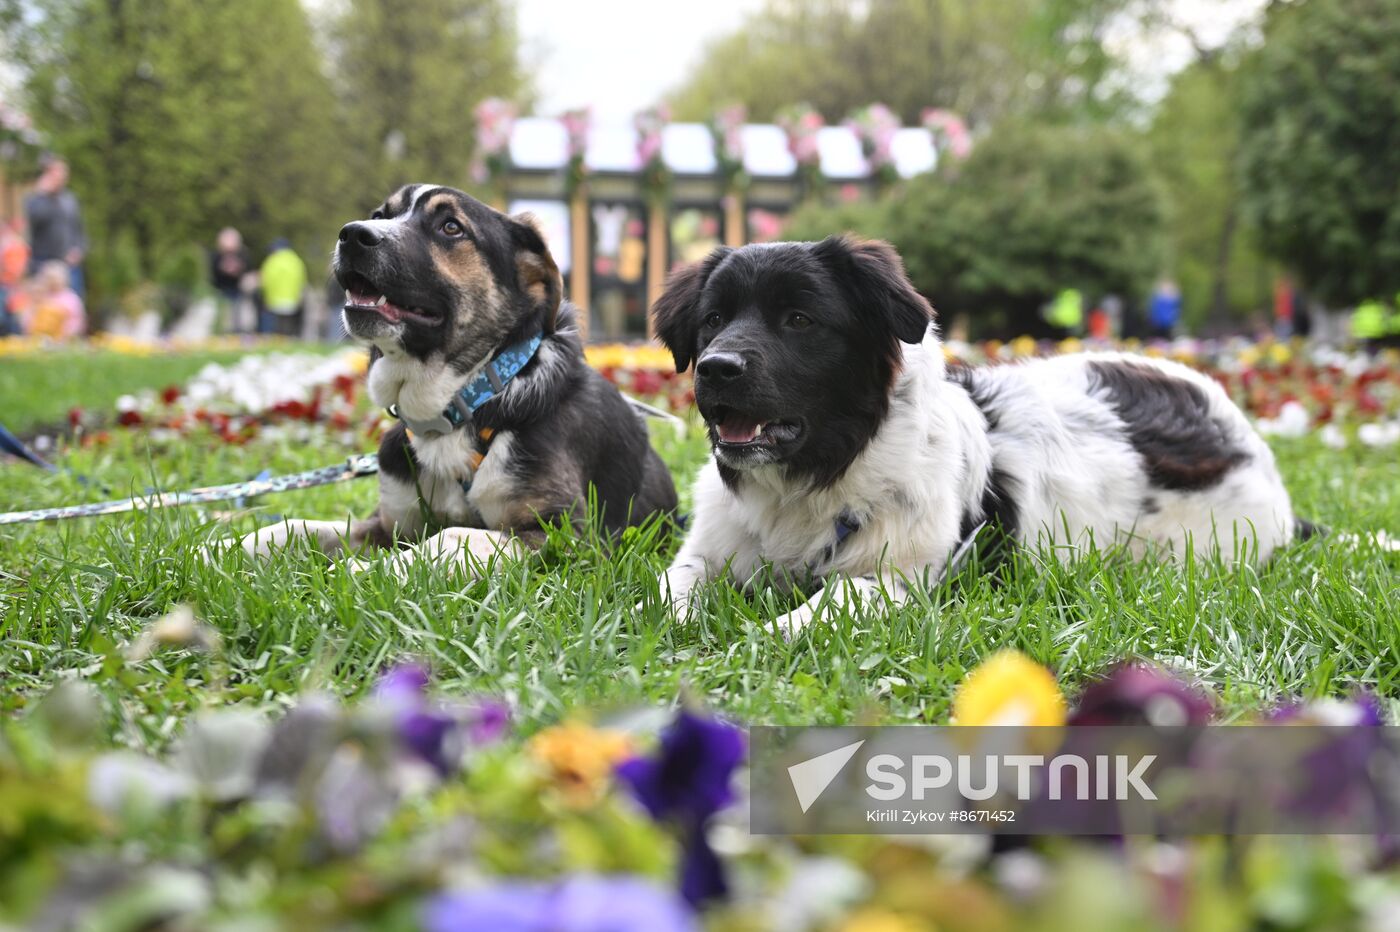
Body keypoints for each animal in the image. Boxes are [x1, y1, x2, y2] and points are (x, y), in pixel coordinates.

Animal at [649, 236, 1304, 635]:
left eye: (799, 320)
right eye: (713, 320)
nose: (717, 368)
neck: (816, 475)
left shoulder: (899, 574)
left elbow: (830, 601)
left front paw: (768, 632)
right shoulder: (708, 550)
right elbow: (668, 587)